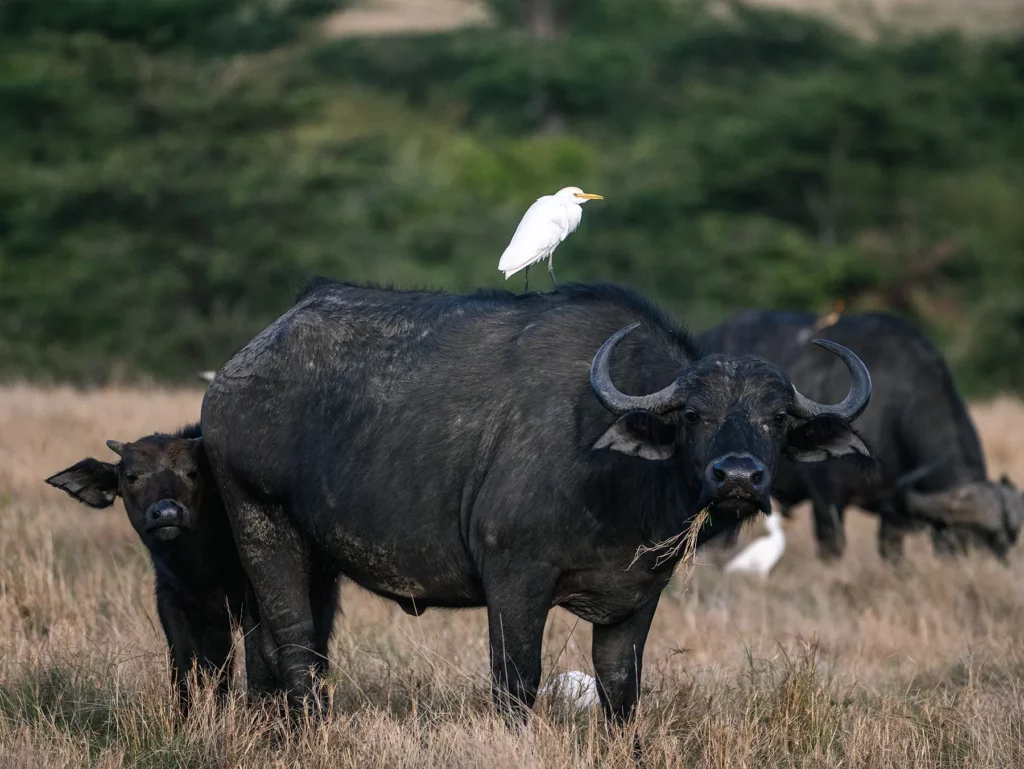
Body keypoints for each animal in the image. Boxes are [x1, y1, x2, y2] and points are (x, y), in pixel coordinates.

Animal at [45, 425, 340, 715]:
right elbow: (189, 664)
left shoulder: (246, 600)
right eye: (131, 476)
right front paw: (189, 715)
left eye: (192, 473)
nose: (167, 513)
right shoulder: (172, 599)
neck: (200, 569)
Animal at [200, 280, 872, 729]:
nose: (738, 475)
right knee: (293, 639)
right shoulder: (515, 579)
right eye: (693, 414)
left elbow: (620, 687)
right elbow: (517, 682)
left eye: (777, 417)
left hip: (316, 556)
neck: (613, 477)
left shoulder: (638, 593)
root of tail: (235, 375)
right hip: (262, 525)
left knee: (271, 643)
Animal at [700, 310, 1023, 563]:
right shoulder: (826, 499)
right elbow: (832, 548)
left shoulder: (893, 512)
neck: (893, 407)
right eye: (963, 540)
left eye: (1004, 545)